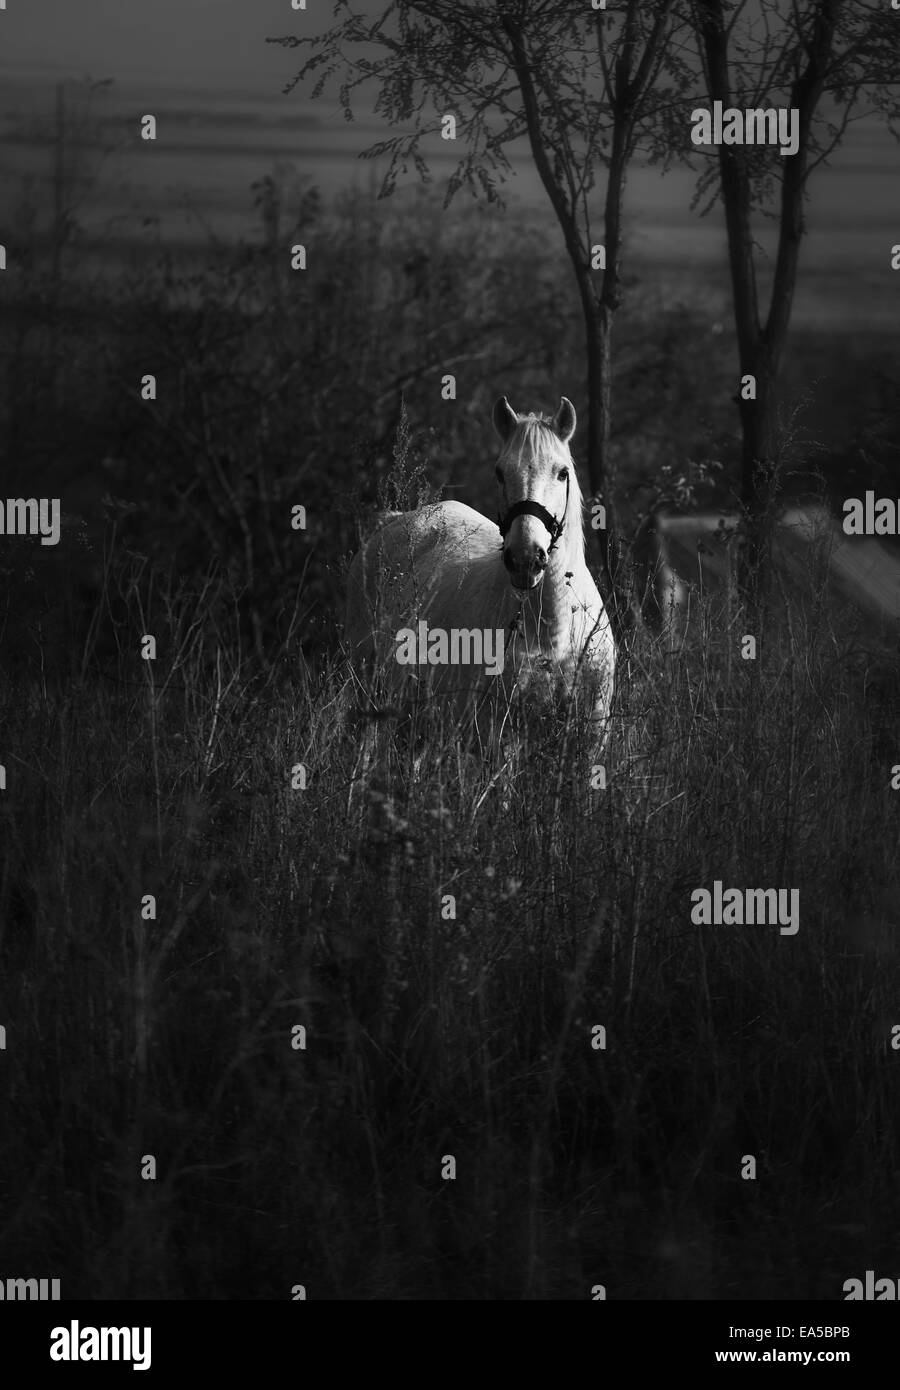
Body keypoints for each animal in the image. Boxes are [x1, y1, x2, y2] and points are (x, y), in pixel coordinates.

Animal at [343, 397, 612, 800]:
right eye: (500, 473)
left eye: (562, 473)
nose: (526, 558)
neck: (555, 635)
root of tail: (391, 524)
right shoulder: (499, 739)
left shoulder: (589, 739)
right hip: (368, 690)